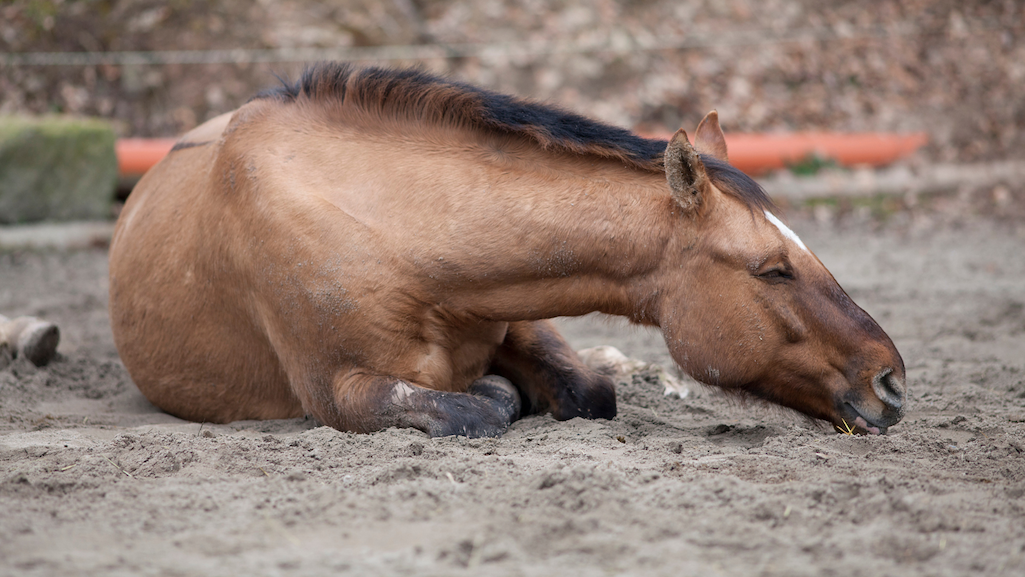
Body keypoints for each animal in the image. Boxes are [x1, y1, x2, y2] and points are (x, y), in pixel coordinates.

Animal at [108, 63, 906, 438]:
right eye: (772, 269)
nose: (891, 381)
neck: (394, 231)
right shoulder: (339, 391)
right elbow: (477, 407)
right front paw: (497, 394)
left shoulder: (520, 310)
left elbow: (589, 390)